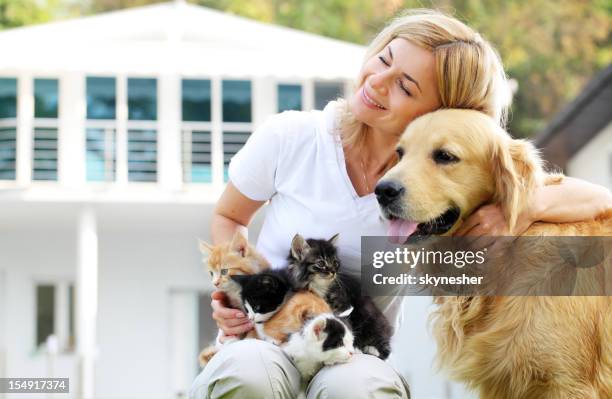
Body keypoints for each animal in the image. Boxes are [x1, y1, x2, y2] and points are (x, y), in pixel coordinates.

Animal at [286, 234, 392, 362]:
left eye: (335, 262)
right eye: (321, 263)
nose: (333, 272)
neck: (320, 288)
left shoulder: (342, 302)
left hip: (366, 314)